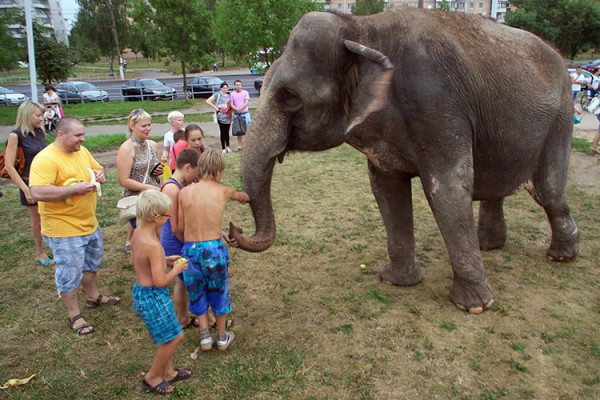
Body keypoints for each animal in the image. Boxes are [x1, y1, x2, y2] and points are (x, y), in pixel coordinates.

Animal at [229, 7, 576, 312]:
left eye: (290, 97)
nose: (233, 230)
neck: (360, 27)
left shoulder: (438, 105)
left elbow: (447, 189)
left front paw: (475, 307)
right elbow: (386, 188)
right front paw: (395, 281)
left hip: (560, 117)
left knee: (549, 192)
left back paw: (560, 256)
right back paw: (489, 245)